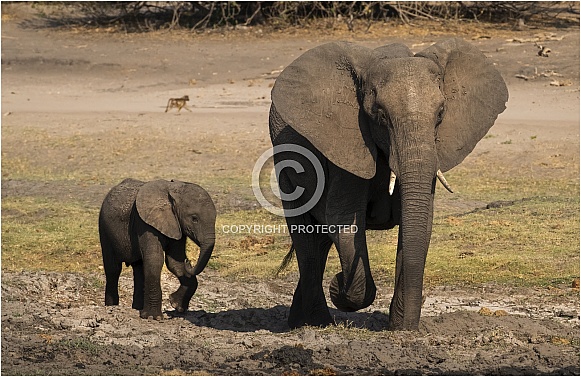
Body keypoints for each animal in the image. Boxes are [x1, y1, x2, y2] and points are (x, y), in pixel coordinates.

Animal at [98, 178, 216, 318]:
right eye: (194, 219)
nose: (189, 262)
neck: (172, 192)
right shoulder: (145, 223)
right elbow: (155, 259)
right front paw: (153, 317)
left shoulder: (177, 225)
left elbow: (175, 262)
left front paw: (176, 305)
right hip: (104, 229)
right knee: (113, 270)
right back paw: (112, 307)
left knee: (139, 270)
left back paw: (137, 308)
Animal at [268, 38, 508, 328]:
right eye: (380, 115)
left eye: (441, 113)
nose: (407, 327)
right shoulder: (347, 147)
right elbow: (343, 220)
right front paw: (340, 288)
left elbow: (419, 222)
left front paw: (402, 329)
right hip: (284, 160)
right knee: (307, 240)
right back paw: (316, 323)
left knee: (320, 240)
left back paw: (301, 321)